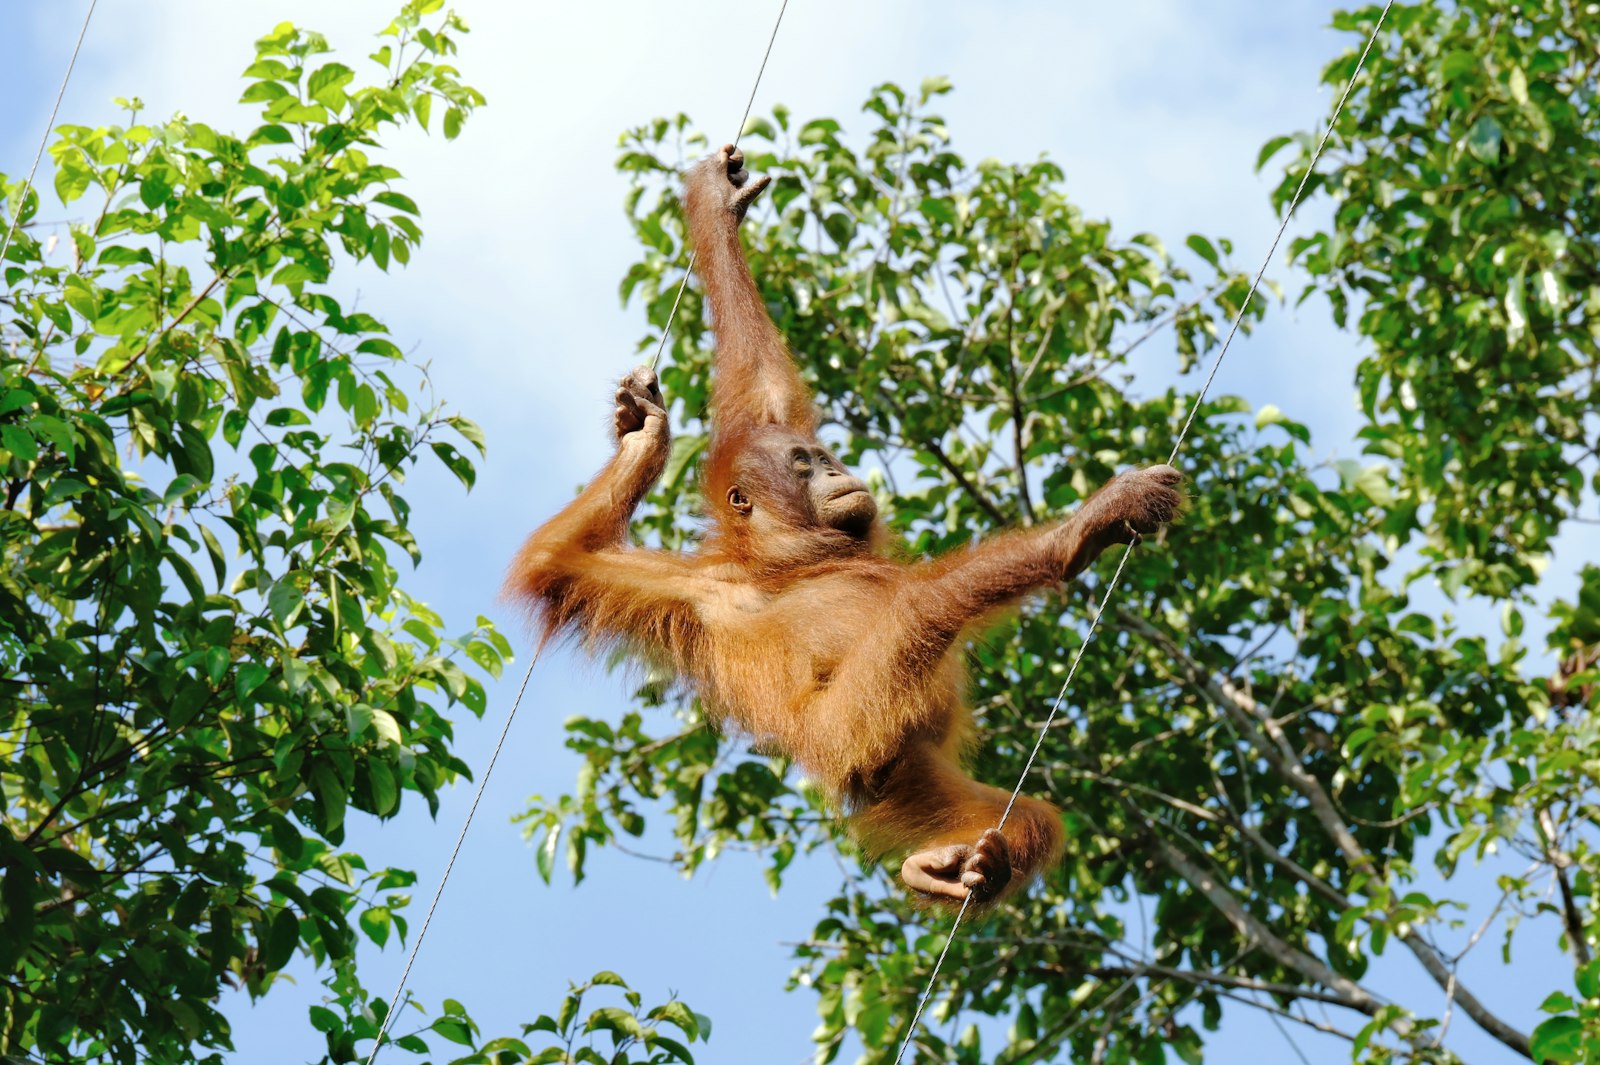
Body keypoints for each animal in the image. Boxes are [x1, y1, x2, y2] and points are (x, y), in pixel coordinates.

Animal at [508, 144, 1183, 908]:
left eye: (821, 456)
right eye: (804, 465)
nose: (837, 471)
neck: (787, 559)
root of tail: (865, 777)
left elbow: (759, 383)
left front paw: (716, 211)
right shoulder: (700, 591)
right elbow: (558, 564)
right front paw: (1098, 518)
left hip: (907, 766)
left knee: (1025, 813)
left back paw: (959, 867)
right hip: (851, 732)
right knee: (922, 606)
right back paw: (1076, 541)